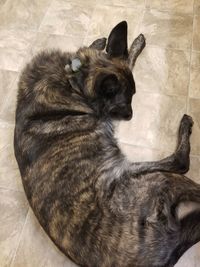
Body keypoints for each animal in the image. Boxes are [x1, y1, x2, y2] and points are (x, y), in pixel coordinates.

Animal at [13, 21, 200, 267]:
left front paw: (108, 42)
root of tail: (169, 249)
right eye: (125, 101)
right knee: (180, 164)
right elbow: (127, 60)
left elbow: (120, 56)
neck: (72, 80)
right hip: (159, 179)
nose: (130, 116)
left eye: (134, 94)